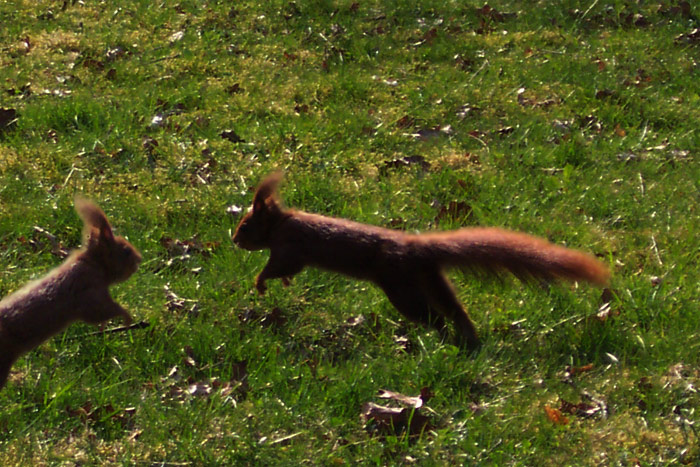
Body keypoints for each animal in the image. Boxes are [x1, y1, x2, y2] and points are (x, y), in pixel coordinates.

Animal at [0, 199, 142, 390]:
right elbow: (101, 311)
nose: (139, 259)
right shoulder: (88, 291)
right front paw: (126, 317)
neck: (93, 264)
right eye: (126, 251)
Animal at [234, 175, 608, 352]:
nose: (234, 240)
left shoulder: (289, 248)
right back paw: (468, 339)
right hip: (431, 280)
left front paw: (260, 282)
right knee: (454, 309)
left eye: (246, 226)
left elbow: (279, 267)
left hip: (402, 288)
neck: (281, 224)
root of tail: (417, 249)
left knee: (434, 317)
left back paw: (445, 338)